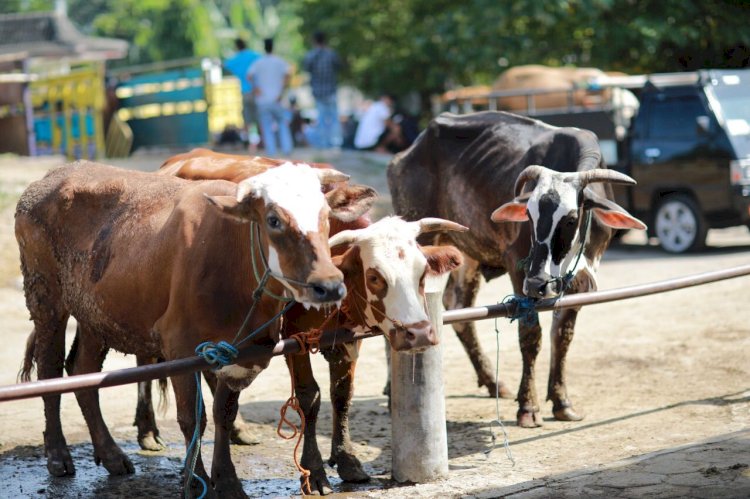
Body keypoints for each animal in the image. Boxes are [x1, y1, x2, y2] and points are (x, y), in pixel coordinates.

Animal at [16, 160, 382, 496]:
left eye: (326, 217)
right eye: (274, 220)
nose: (329, 285)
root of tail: (55, 174)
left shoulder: (241, 350)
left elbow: (224, 413)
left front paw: (228, 480)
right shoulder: (180, 346)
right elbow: (193, 418)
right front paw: (196, 481)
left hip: (98, 314)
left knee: (83, 371)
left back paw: (111, 455)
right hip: (46, 298)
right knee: (50, 370)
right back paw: (58, 455)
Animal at [388, 112, 648, 430]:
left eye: (571, 218)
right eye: (529, 215)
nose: (538, 284)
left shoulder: (579, 282)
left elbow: (562, 335)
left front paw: (562, 401)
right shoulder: (517, 267)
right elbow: (531, 336)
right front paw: (528, 407)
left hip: (466, 252)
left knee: (459, 308)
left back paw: (492, 382)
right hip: (420, 236)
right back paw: (392, 392)